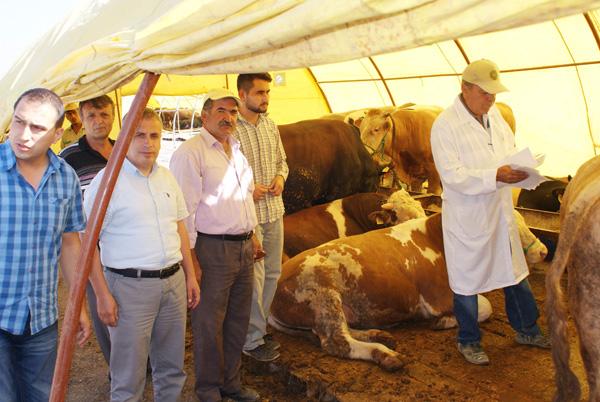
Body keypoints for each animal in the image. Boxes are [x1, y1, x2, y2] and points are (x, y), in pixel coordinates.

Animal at [272, 210, 548, 370]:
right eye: (510, 228)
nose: (544, 251)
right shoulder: (438, 296)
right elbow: (486, 307)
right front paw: (444, 321)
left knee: (340, 332)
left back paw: (380, 335)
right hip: (323, 293)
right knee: (337, 341)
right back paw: (385, 354)